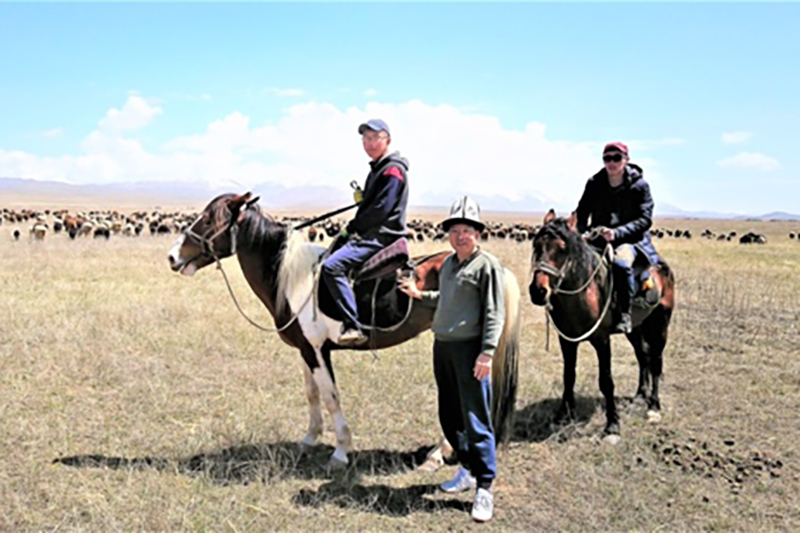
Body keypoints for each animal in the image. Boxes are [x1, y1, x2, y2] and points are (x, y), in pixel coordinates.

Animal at [166, 194, 520, 466]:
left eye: (208, 219)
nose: (172, 256)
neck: (293, 278)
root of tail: (492, 267)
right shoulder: (306, 350)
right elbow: (312, 394)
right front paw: (309, 438)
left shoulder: (319, 350)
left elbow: (331, 397)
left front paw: (341, 451)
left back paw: (438, 452)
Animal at [532, 210, 676, 438]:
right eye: (536, 244)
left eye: (562, 248)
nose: (538, 291)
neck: (584, 292)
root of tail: (663, 268)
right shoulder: (567, 340)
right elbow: (568, 376)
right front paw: (564, 414)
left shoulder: (602, 340)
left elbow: (606, 381)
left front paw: (613, 424)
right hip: (634, 329)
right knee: (643, 355)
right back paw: (640, 395)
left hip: (660, 324)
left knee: (656, 361)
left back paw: (653, 406)